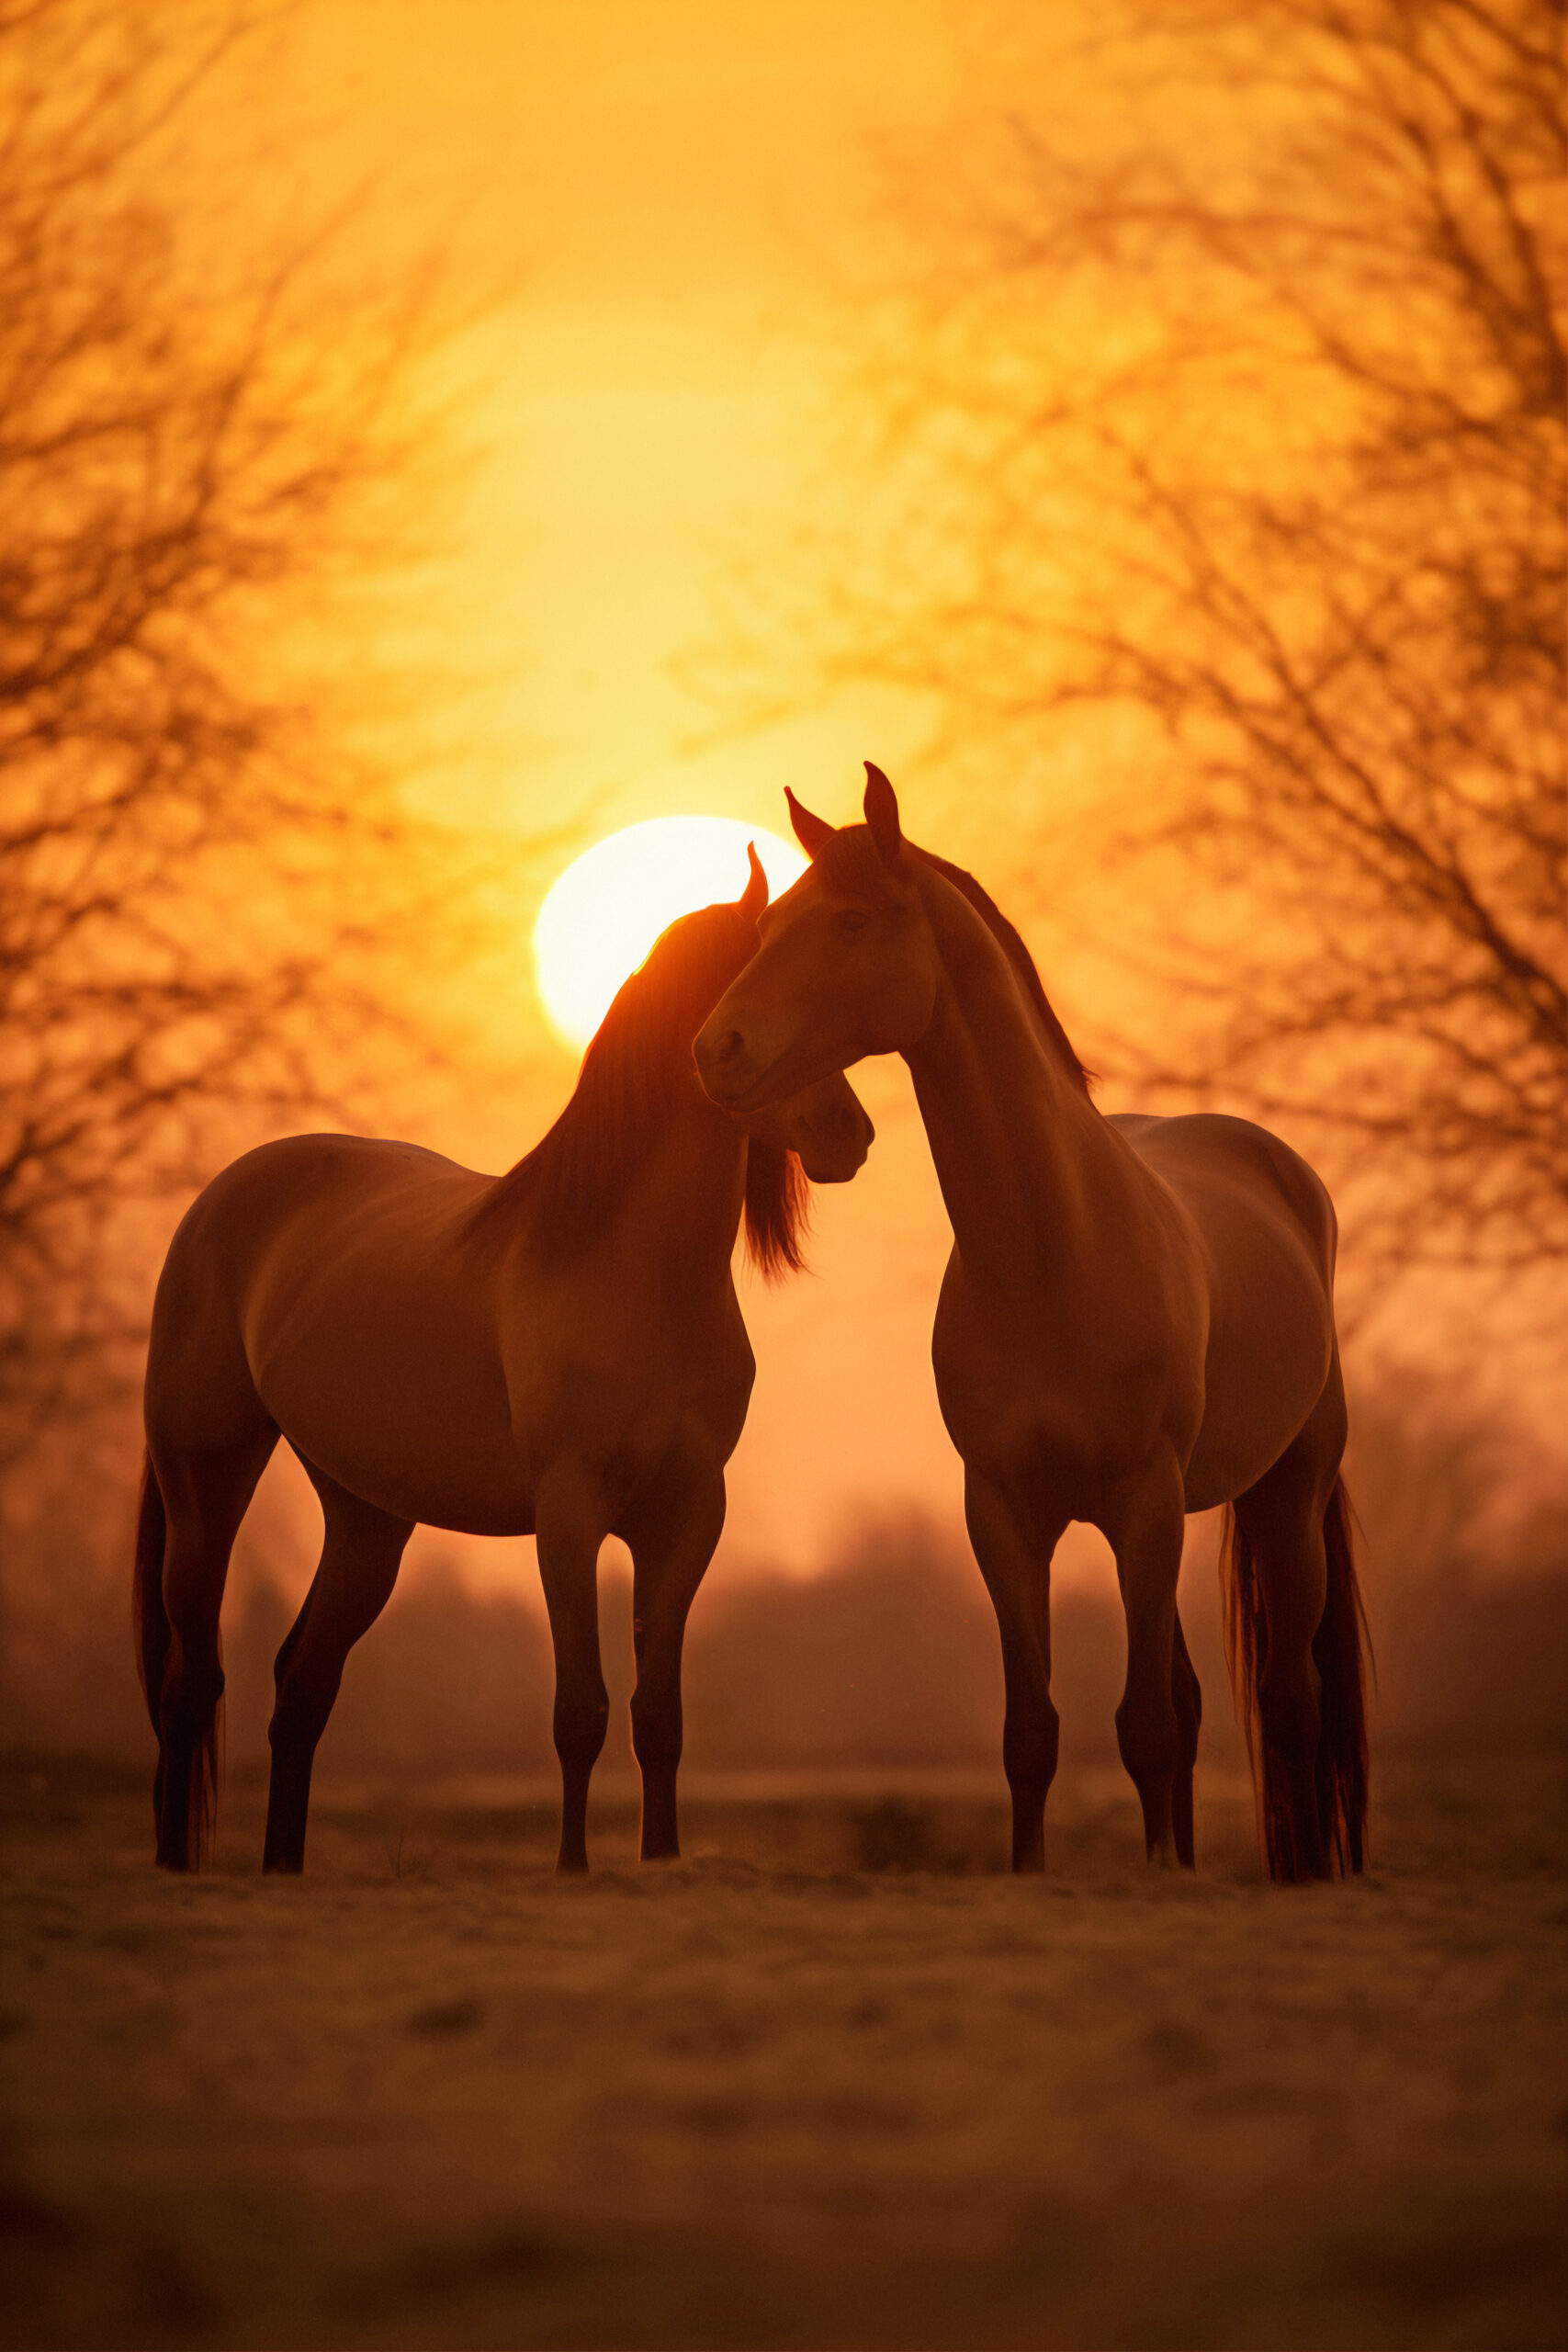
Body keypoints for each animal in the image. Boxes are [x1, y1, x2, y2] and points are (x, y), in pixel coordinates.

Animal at [133, 851, 874, 1877]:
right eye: (748, 979)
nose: (847, 1131)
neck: (625, 1271)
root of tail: (218, 1201)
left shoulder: (687, 1518)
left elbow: (658, 1715)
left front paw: (659, 1861)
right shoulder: (567, 1516)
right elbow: (580, 1709)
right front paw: (572, 1867)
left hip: (366, 1516)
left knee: (301, 1681)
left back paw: (284, 1864)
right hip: (206, 1480)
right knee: (191, 1680)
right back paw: (178, 1865)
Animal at [694, 767, 1369, 1884]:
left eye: (849, 918)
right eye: (769, 924)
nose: (717, 1049)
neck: (1054, 1255)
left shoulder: (1141, 1503)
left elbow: (1143, 1724)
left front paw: (1158, 1874)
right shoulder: (1003, 1513)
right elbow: (1034, 1731)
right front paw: (1045, 1869)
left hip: (1283, 1495)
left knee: (1289, 1702)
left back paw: (1306, 1870)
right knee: (1199, 1700)